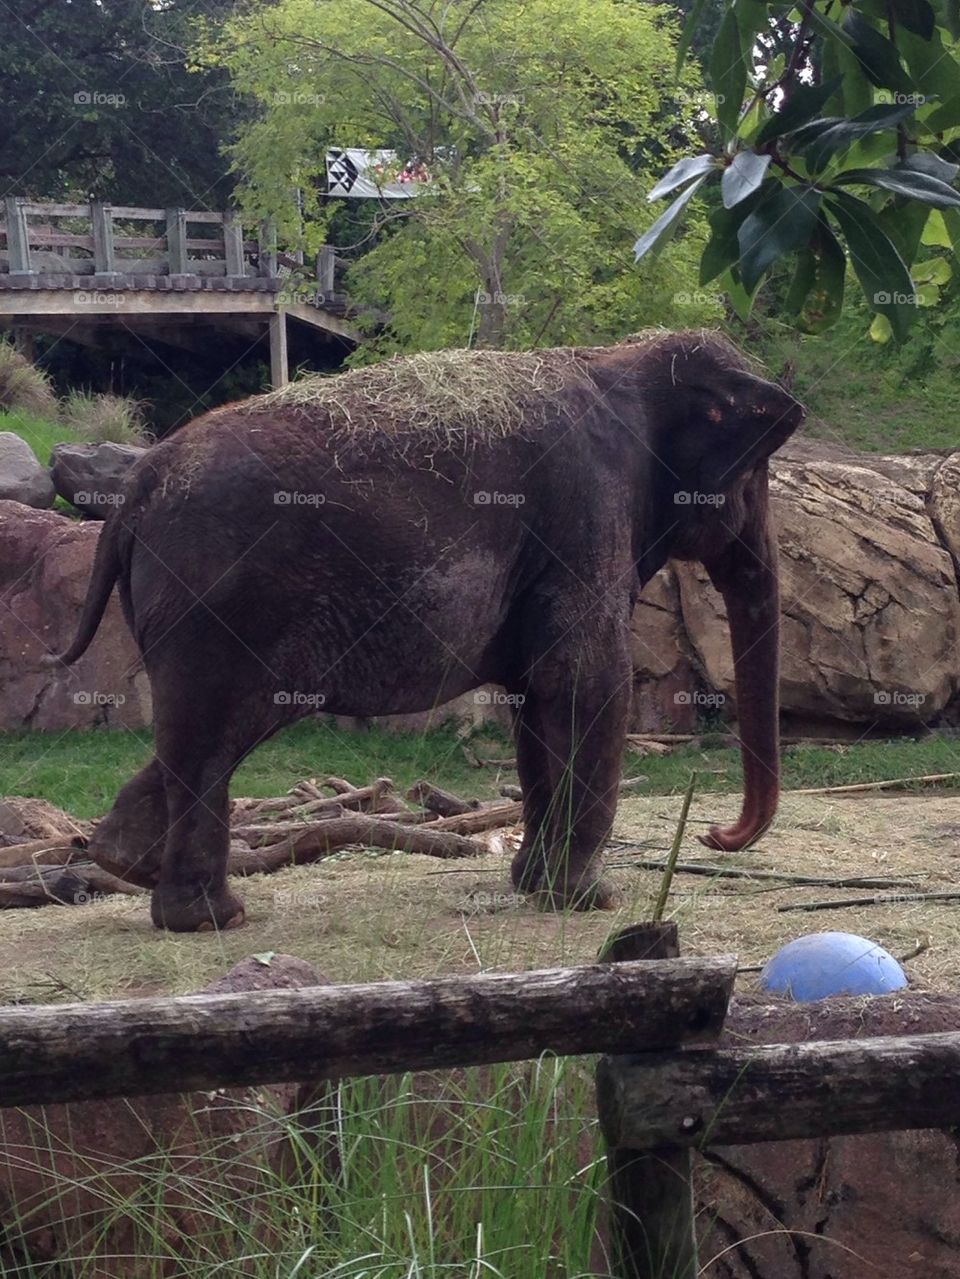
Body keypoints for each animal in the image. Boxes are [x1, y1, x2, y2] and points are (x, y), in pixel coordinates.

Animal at [50, 330, 803, 931]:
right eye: (756, 475)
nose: (714, 834)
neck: (622, 355)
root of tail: (135, 489)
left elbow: (537, 699)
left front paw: (535, 887)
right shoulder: (588, 510)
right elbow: (589, 683)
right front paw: (592, 901)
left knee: (203, 739)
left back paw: (123, 859)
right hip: (218, 605)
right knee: (216, 735)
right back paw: (211, 918)